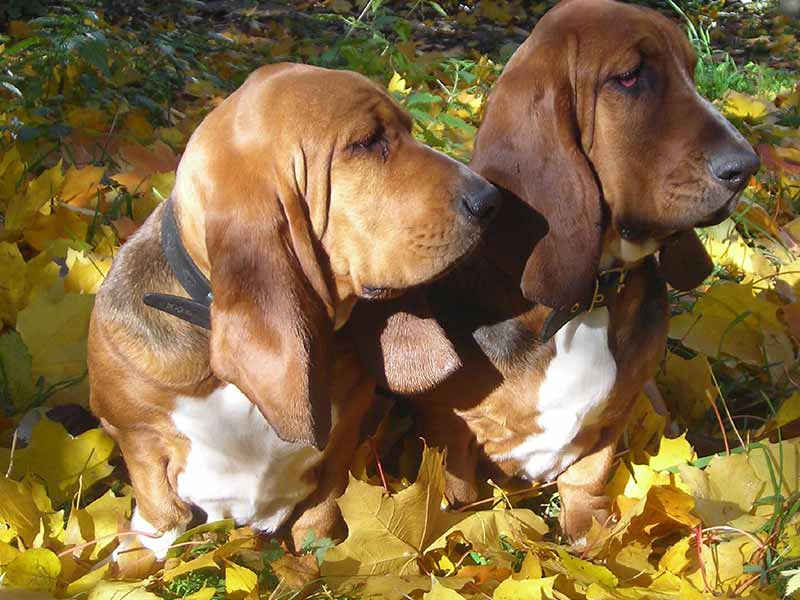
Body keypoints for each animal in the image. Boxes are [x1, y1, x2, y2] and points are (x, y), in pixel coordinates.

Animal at [87, 63, 501, 558]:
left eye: (408, 129)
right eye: (366, 142)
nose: (491, 199)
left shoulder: (344, 436)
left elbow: (321, 511)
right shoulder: (133, 432)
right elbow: (159, 511)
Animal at [355, 0, 760, 542]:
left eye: (692, 71)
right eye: (629, 78)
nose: (748, 166)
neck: (588, 301)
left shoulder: (613, 419)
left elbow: (587, 482)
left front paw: (596, 539)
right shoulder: (451, 431)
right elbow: (462, 497)